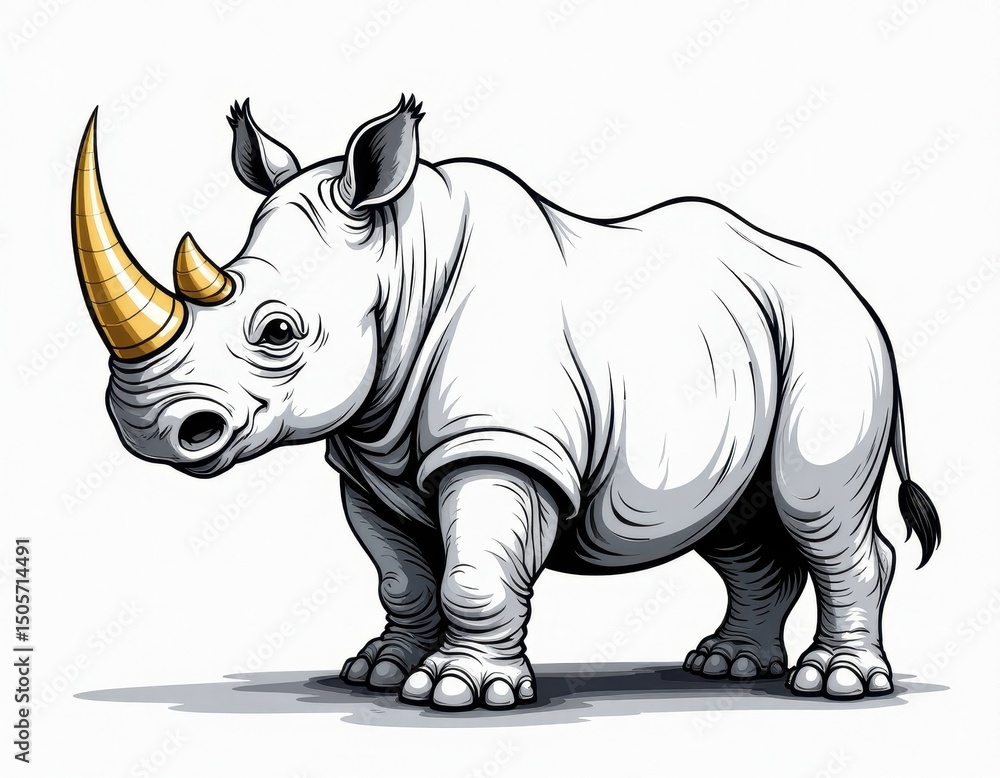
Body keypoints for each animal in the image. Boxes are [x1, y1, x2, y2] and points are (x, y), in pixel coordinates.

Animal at [71, 95, 940, 711]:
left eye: (278, 331)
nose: (147, 427)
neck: (404, 259)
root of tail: (855, 293)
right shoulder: (368, 460)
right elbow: (402, 576)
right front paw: (378, 671)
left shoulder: (502, 443)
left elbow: (474, 572)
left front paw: (458, 693)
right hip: (746, 346)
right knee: (734, 525)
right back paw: (723, 667)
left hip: (831, 341)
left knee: (812, 506)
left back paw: (835, 686)